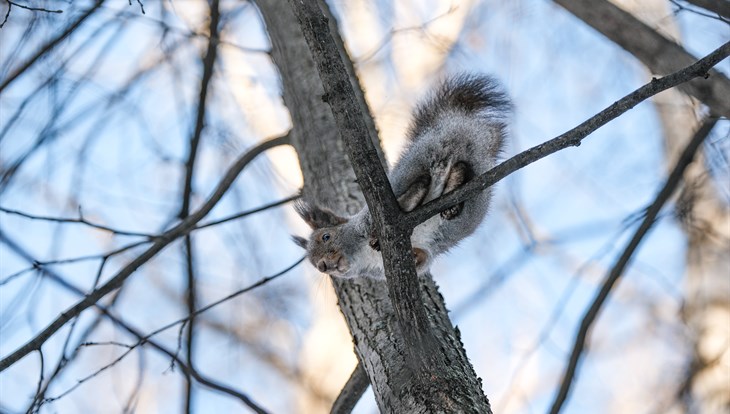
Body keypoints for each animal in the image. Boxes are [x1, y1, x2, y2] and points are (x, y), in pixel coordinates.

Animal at [292, 75, 510, 280]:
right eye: (314, 265)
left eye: (326, 236)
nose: (323, 266)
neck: (363, 255)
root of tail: (457, 123)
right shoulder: (414, 260)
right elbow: (423, 258)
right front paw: (413, 255)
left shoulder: (366, 220)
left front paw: (376, 236)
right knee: (461, 167)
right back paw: (452, 190)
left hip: (412, 165)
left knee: (422, 179)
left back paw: (415, 197)